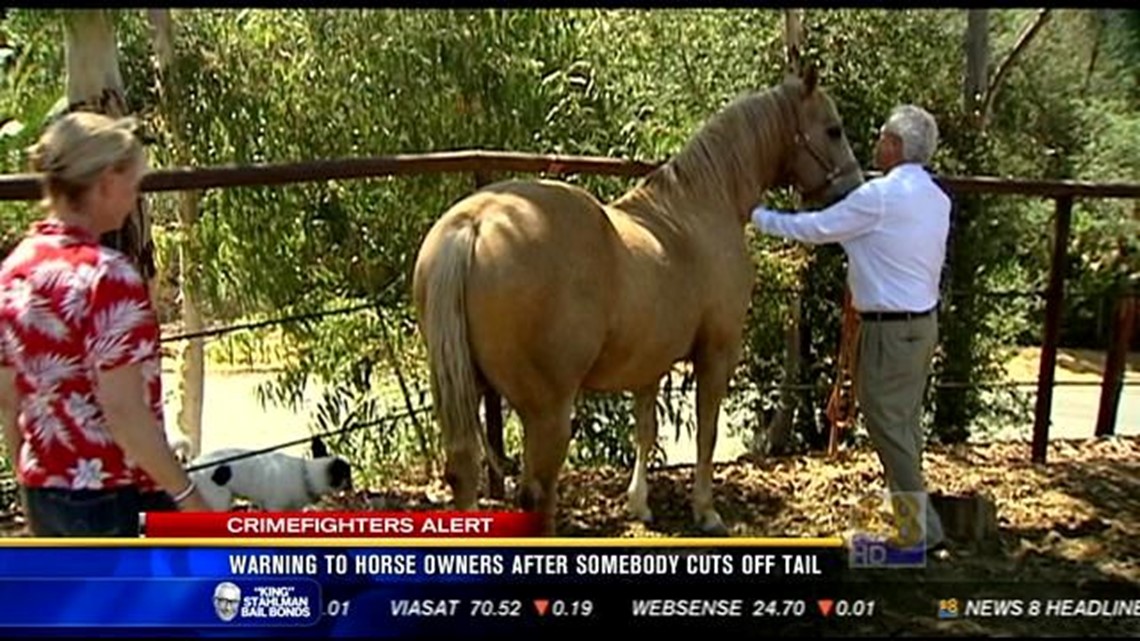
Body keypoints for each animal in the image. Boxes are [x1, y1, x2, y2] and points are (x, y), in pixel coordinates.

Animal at [412, 65, 864, 536]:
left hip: (465, 392)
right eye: (833, 130)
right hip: (547, 411)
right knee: (537, 491)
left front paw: (639, 504)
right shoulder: (716, 352)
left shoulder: (650, 360)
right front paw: (706, 511)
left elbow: (645, 430)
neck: (700, 208)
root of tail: (475, 223)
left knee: (464, 470)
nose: (856, 186)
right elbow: (706, 432)